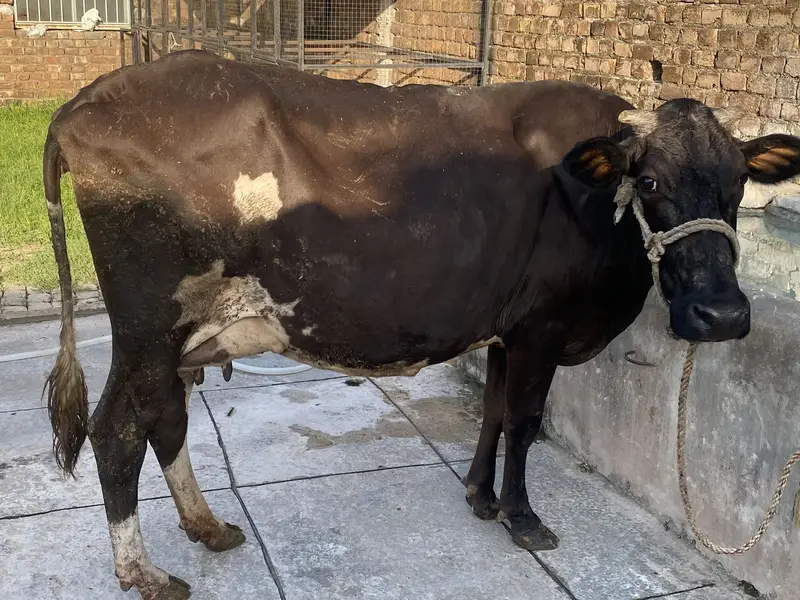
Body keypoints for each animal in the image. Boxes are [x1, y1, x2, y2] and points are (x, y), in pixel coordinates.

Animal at [42, 49, 800, 600]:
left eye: (738, 185)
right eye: (648, 182)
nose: (722, 314)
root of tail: (85, 100)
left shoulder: (507, 327)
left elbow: (493, 411)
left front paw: (480, 496)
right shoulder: (543, 328)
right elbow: (525, 420)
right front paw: (524, 518)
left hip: (170, 337)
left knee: (163, 420)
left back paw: (206, 527)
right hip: (148, 326)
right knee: (118, 430)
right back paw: (142, 572)